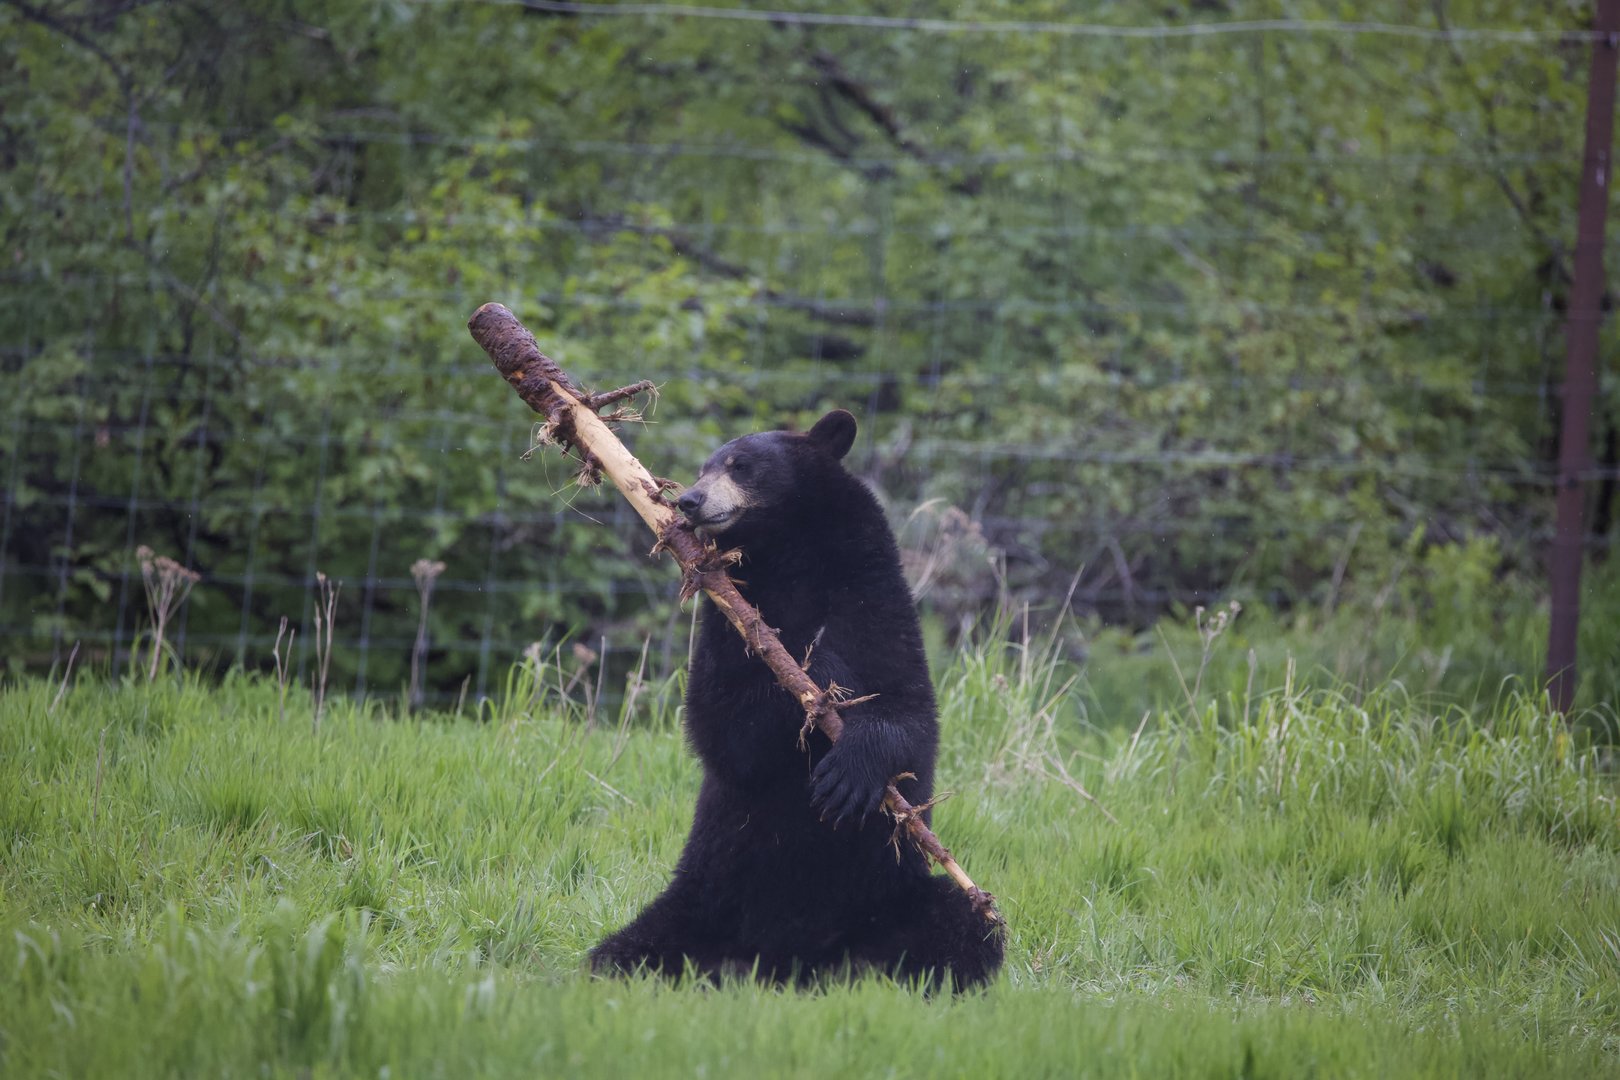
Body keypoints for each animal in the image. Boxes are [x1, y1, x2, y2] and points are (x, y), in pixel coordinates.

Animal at [588, 409, 1005, 991]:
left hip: (892, 892)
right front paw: (810, 672)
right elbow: (724, 725)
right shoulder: (724, 620)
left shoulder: (873, 597)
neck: (787, 558)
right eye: (704, 466)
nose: (690, 500)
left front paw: (845, 774)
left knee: (966, 923)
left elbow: (908, 709)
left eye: (740, 465)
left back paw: (893, 975)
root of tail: (790, 967)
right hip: (703, 901)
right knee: (628, 948)